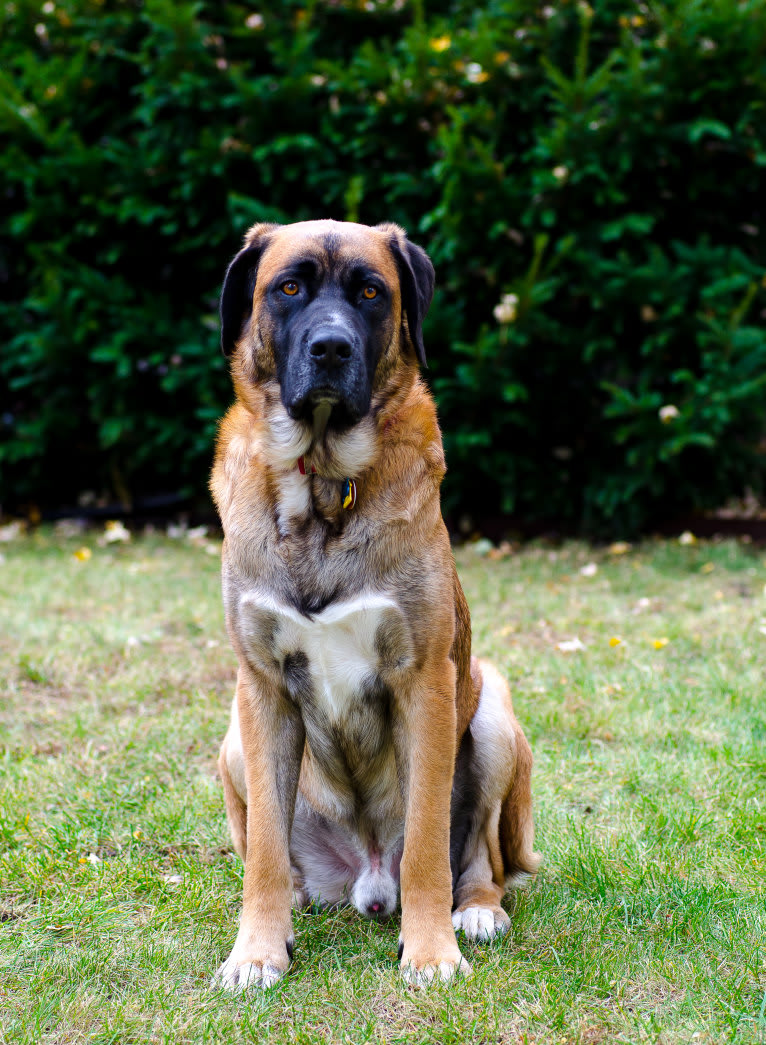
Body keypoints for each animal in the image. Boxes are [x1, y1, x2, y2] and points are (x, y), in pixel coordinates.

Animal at [207, 220, 539, 986]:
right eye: (288, 287)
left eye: (369, 293)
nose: (331, 347)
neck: (326, 489)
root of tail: (366, 879)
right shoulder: (261, 688)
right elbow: (264, 851)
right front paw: (257, 949)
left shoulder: (426, 681)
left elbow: (425, 844)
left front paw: (431, 951)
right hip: (233, 742)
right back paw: (298, 903)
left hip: (492, 714)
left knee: (483, 861)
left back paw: (476, 912)